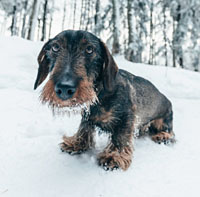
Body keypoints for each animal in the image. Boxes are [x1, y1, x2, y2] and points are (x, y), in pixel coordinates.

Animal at [34, 29, 175, 171]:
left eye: (89, 49)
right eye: (55, 47)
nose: (64, 88)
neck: (99, 95)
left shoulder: (127, 116)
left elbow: (121, 136)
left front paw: (114, 156)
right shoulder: (87, 114)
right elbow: (84, 127)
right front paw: (77, 143)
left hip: (163, 121)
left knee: (171, 133)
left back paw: (163, 136)